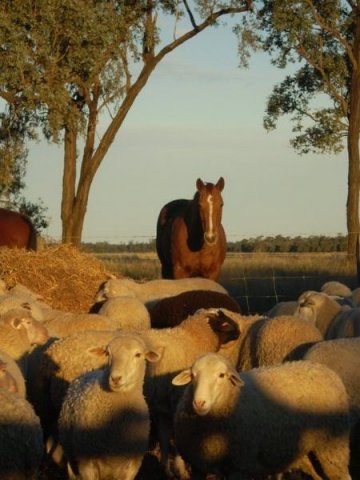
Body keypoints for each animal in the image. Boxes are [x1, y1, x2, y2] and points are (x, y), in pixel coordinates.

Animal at [58, 332, 160, 480]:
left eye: (138, 355)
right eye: (108, 353)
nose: (115, 378)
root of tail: (88, 372)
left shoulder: (132, 466)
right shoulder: (86, 463)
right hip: (71, 456)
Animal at [173, 352, 350, 480]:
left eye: (221, 375)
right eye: (193, 375)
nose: (199, 403)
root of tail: (328, 371)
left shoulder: (240, 466)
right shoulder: (197, 466)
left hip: (332, 447)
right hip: (308, 454)